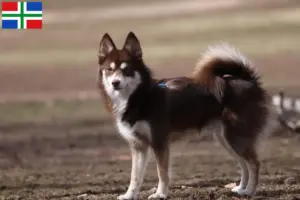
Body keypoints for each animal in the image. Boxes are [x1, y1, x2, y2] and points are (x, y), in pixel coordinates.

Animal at [97, 32, 274, 199]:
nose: (115, 83)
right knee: (244, 164)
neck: (139, 97)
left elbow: (162, 173)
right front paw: (129, 195)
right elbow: (135, 176)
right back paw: (241, 189)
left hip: (236, 137)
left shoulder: (159, 143)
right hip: (227, 139)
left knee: (254, 164)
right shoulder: (138, 146)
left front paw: (160, 194)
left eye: (126, 69)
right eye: (109, 70)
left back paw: (249, 191)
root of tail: (249, 81)